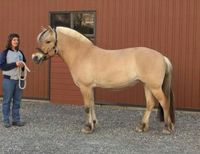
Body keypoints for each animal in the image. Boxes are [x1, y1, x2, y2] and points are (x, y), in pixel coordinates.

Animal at [32, 25, 174, 134]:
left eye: (48, 41)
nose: (35, 57)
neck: (82, 54)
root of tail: (162, 57)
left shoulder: (85, 87)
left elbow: (87, 107)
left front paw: (87, 127)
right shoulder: (91, 87)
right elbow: (92, 105)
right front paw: (94, 124)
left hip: (154, 87)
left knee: (164, 102)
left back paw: (167, 128)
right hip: (147, 86)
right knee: (150, 104)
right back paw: (142, 127)